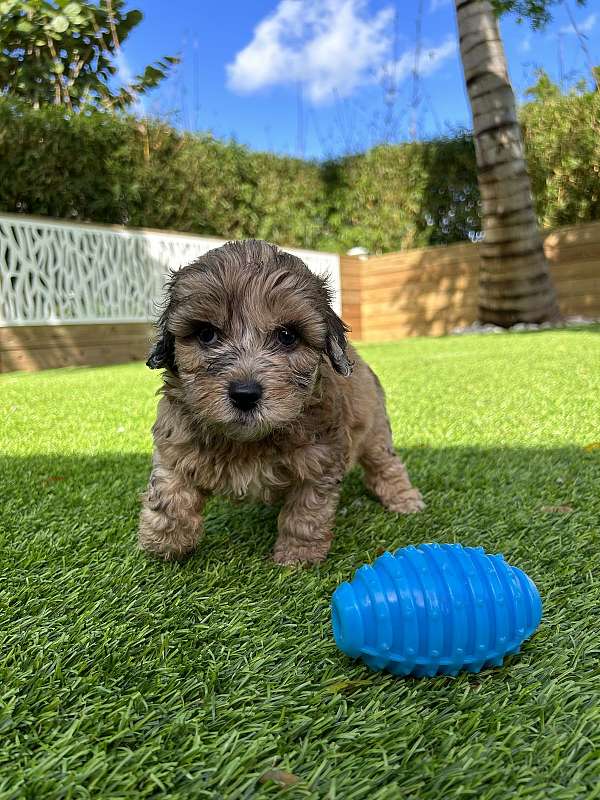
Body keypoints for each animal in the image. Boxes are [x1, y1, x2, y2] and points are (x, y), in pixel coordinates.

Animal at [139, 238, 424, 564]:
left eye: (287, 335)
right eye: (206, 334)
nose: (245, 394)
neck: (247, 442)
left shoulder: (320, 459)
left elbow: (306, 511)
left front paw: (297, 555)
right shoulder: (176, 440)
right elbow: (169, 491)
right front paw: (164, 542)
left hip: (375, 432)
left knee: (386, 465)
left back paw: (403, 499)